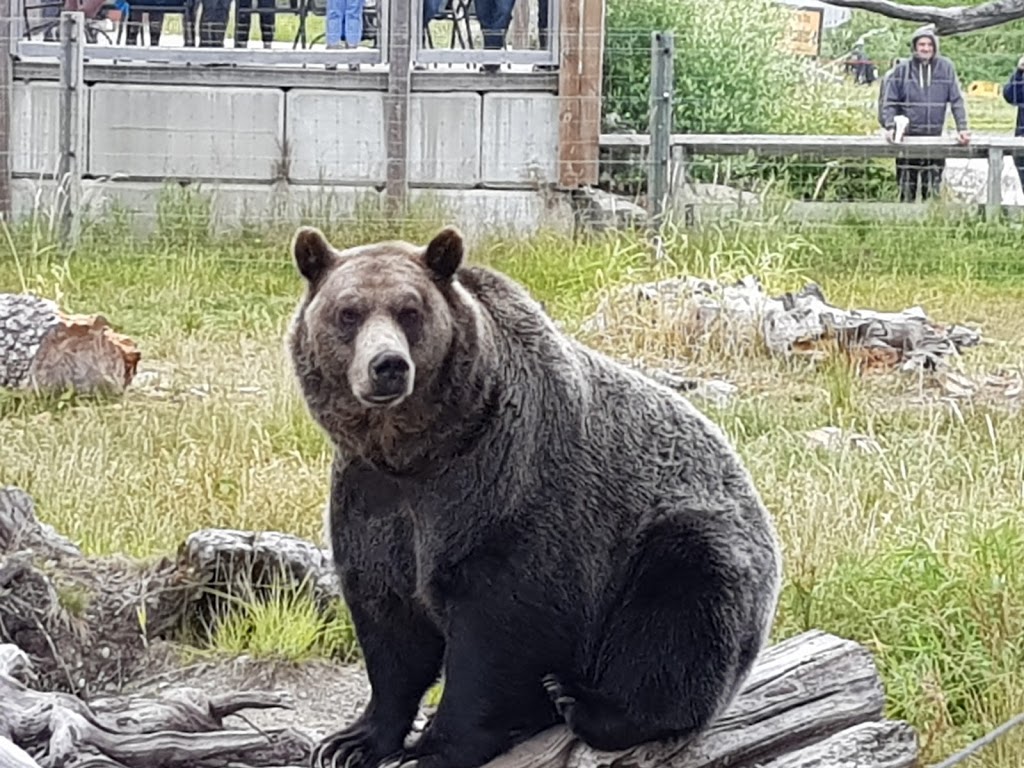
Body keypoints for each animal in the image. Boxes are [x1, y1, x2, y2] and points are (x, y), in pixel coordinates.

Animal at [284, 224, 778, 768]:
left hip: (682, 542)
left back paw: (583, 702)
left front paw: (435, 746)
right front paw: (352, 741)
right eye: (348, 312)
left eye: (410, 311)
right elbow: (389, 622)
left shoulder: (502, 491)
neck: (419, 452)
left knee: (680, 611)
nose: (387, 365)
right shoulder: (373, 499)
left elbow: (498, 630)